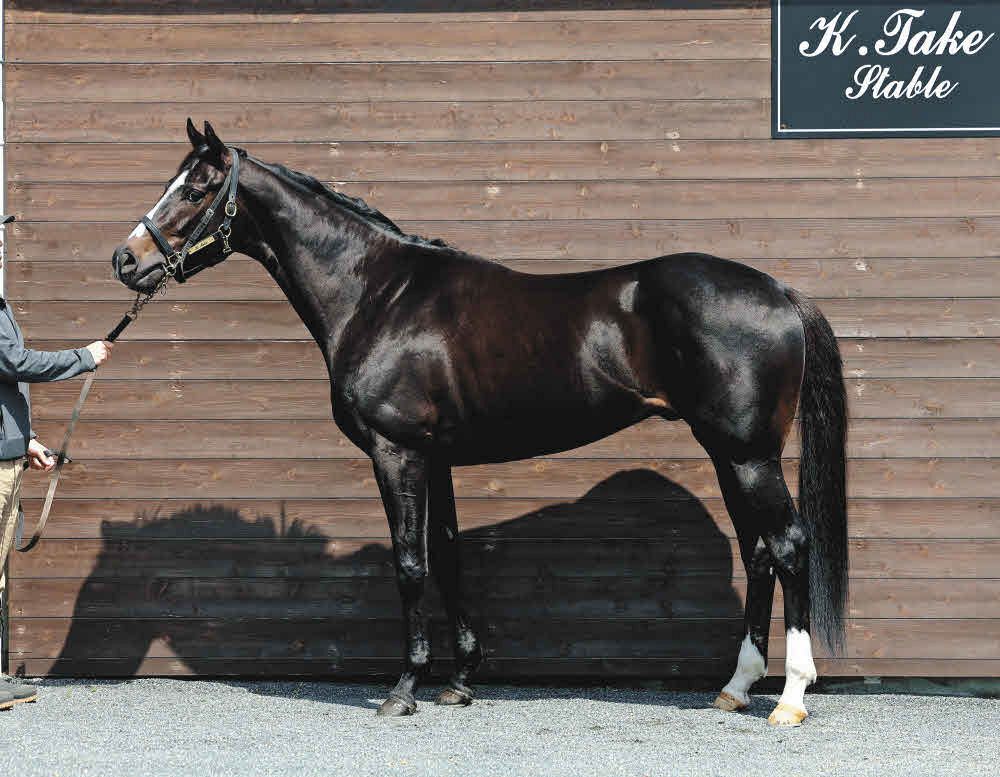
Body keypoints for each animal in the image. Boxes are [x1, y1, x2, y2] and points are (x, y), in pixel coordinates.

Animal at [111, 120, 848, 726]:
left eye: (196, 187)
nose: (125, 260)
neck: (378, 295)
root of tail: (779, 291)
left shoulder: (397, 452)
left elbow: (411, 563)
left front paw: (404, 688)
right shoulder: (435, 457)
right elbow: (449, 557)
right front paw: (461, 679)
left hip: (748, 455)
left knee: (788, 544)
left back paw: (789, 697)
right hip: (729, 453)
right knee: (758, 551)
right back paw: (736, 686)